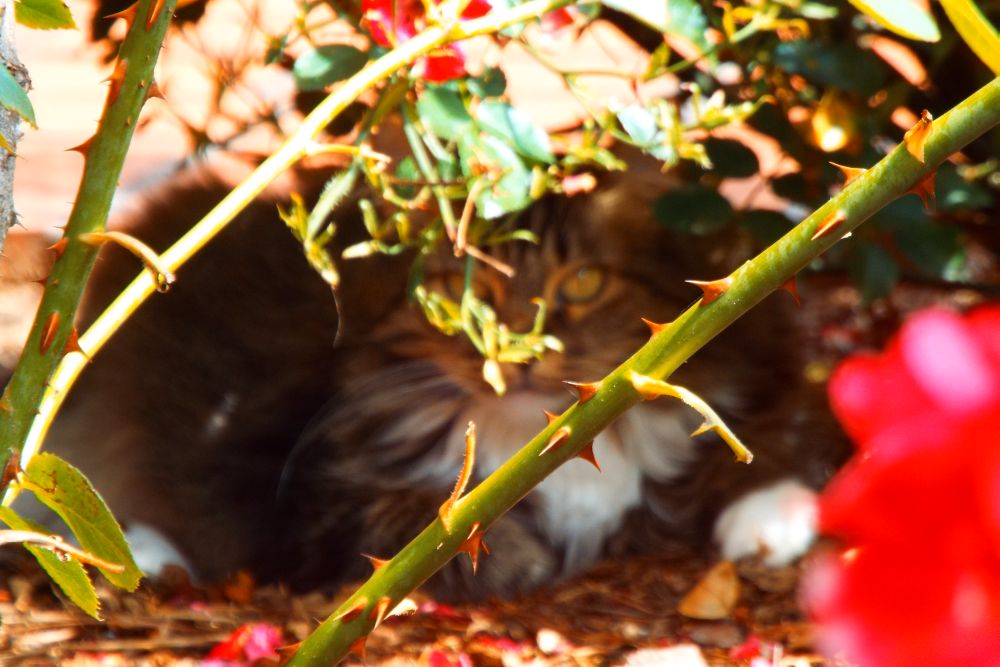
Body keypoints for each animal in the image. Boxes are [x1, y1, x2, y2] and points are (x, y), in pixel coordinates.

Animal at [35, 154, 848, 604]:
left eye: (583, 282)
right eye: (465, 290)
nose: (518, 353)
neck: (547, 430)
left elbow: (766, 446)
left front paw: (773, 520)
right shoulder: (306, 496)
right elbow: (424, 526)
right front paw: (518, 558)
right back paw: (126, 556)